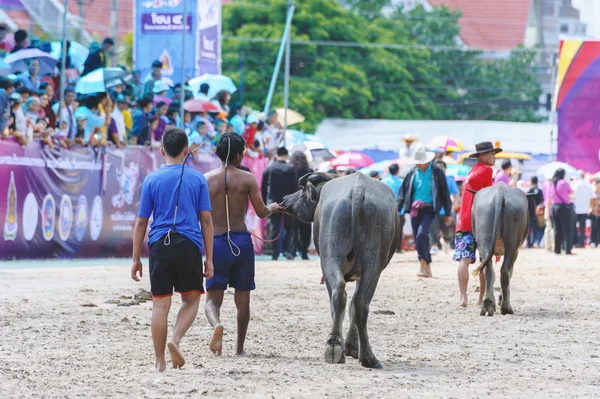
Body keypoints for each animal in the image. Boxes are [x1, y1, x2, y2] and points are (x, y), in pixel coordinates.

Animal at [280, 172, 400, 368]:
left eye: (301, 191)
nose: (284, 198)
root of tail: (358, 190)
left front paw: (349, 346)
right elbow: (350, 307)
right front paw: (351, 346)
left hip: (332, 256)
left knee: (342, 295)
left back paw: (338, 346)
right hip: (370, 263)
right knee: (357, 301)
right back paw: (364, 355)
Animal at [472, 183, 528, 318]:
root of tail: (499, 193)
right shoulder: (516, 251)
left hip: (484, 239)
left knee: (488, 270)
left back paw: (487, 305)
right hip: (512, 243)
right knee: (505, 271)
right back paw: (506, 307)